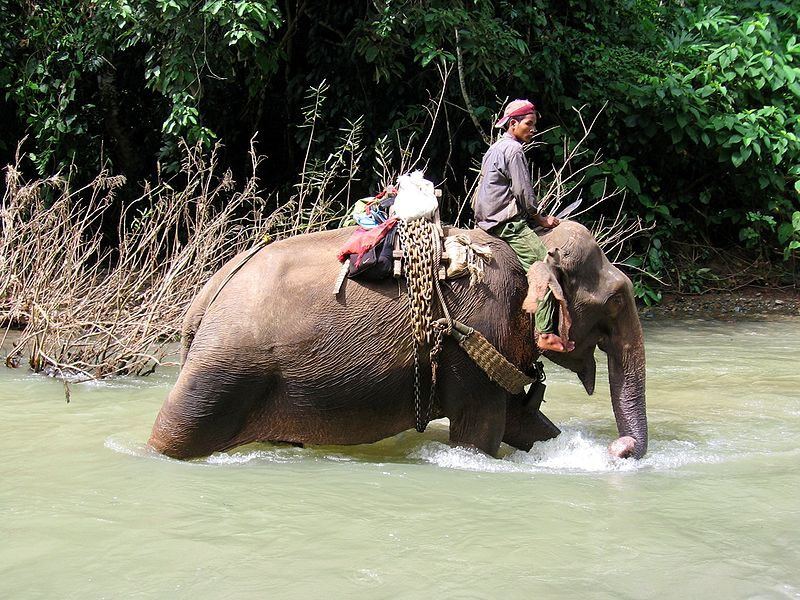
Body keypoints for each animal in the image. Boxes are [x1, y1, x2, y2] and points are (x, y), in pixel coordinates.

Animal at [148, 220, 647, 460]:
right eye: (617, 300)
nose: (618, 450)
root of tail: (205, 299)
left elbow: (522, 423)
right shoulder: (474, 342)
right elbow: (480, 437)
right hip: (224, 369)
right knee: (174, 433)